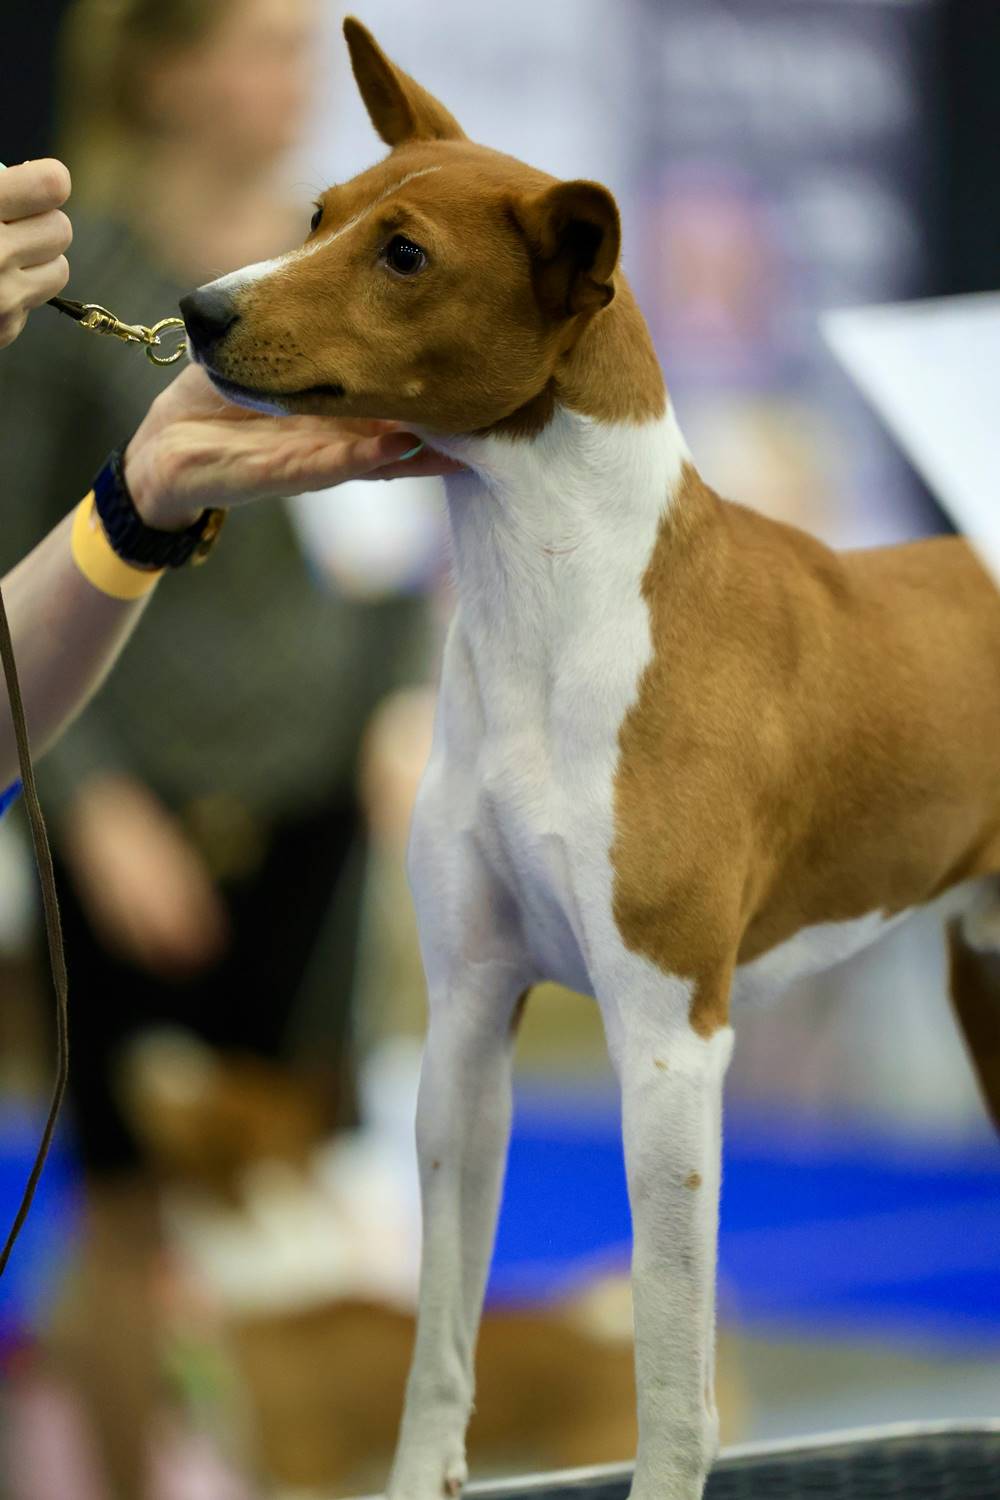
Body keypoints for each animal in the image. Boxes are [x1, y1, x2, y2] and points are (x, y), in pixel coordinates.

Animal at [177, 14, 1000, 1500]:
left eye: (404, 257)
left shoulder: (670, 1045)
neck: (550, 612)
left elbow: (672, 1389)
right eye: (318, 214)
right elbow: (438, 1349)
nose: (203, 307)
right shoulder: (465, 1019)